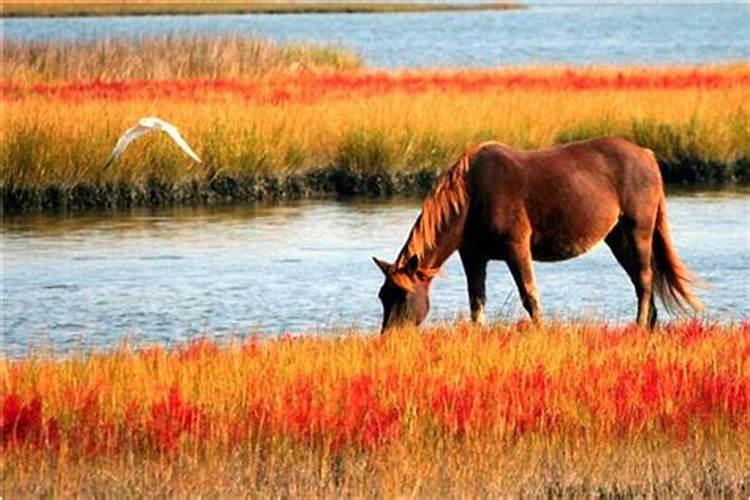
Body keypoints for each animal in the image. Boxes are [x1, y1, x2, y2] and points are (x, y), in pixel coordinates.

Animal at [374, 137, 704, 332]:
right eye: (382, 296)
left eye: (402, 295)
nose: (390, 338)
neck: (471, 197)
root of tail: (648, 155)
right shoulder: (473, 256)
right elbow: (476, 301)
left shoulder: (516, 247)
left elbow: (529, 295)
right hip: (617, 238)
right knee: (640, 280)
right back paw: (648, 326)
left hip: (639, 230)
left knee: (645, 280)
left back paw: (638, 326)